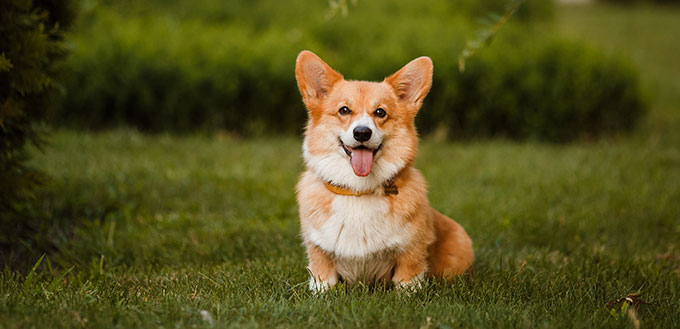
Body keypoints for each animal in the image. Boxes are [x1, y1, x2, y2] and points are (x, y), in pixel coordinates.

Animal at [292, 50, 472, 290]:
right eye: (344, 110)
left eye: (380, 112)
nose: (362, 132)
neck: (358, 191)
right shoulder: (318, 252)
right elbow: (322, 281)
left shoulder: (411, 254)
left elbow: (407, 282)